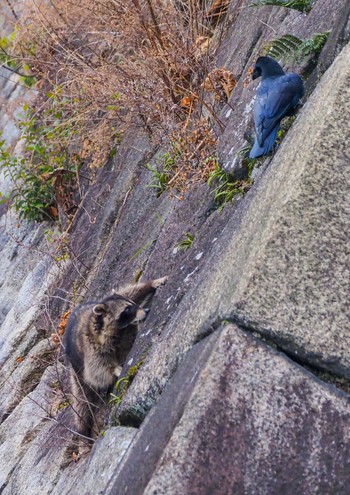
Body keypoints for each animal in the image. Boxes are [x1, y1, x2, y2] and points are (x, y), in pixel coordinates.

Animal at [64, 280, 167, 442]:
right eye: (127, 310)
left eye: (132, 304)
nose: (147, 310)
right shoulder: (91, 347)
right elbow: (96, 370)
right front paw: (115, 369)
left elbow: (130, 291)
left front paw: (151, 284)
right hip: (77, 374)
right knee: (82, 402)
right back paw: (83, 429)